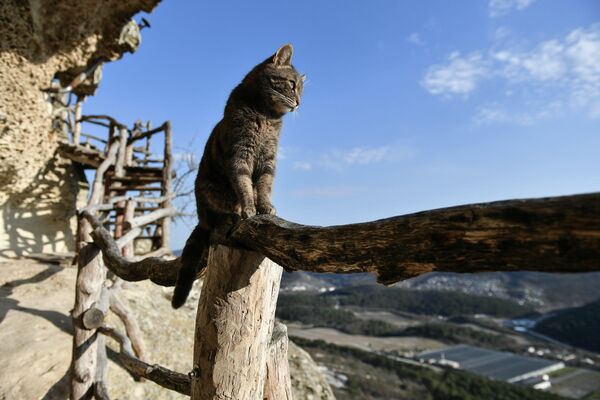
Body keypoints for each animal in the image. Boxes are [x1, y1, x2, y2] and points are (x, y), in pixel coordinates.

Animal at [172, 43, 304, 308]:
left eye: (302, 90)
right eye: (292, 84)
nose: (298, 103)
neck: (267, 116)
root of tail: (201, 219)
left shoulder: (268, 159)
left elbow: (264, 185)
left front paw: (265, 206)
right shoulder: (240, 153)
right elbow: (244, 185)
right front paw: (250, 209)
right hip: (210, 192)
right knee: (216, 221)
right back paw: (229, 218)